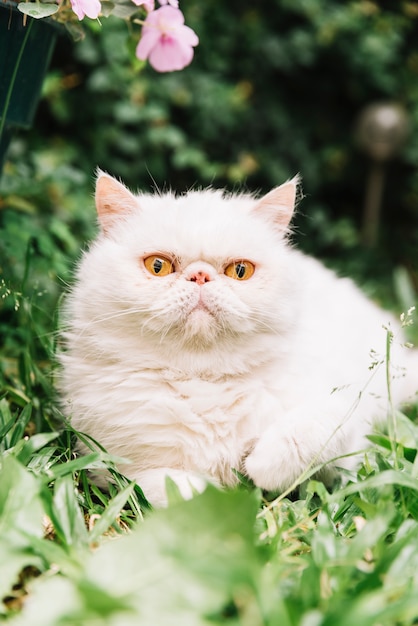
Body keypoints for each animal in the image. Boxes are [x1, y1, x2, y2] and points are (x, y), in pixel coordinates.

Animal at [59, 173, 418, 504]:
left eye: (240, 271)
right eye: (157, 266)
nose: (200, 276)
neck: (204, 381)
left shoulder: (347, 433)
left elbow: (309, 433)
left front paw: (258, 467)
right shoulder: (112, 468)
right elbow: (172, 490)